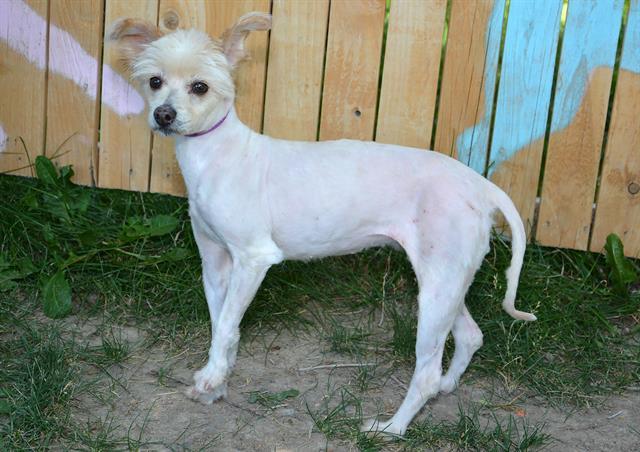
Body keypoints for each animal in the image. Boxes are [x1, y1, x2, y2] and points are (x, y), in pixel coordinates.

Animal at [111, 13, 536, 438]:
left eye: (200, 87)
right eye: (155, 81)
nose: (164, 115)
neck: (217, 155)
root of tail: (480, 185)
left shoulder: (253, 258)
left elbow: (229, 323)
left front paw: (212, 377)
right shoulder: (215, 264)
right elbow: (221, 326)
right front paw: (218, 379)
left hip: (437, 289)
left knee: (427, 372)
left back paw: (391, 428)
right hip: (449, 282)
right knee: (470, 337)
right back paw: (446, 386)